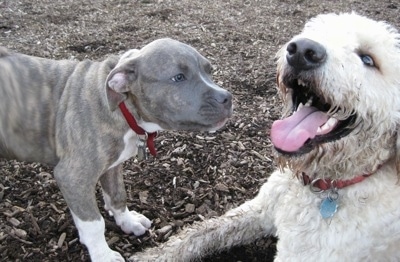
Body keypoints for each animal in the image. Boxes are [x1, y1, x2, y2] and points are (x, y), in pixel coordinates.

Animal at [0, 39, 231, 262]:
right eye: (179, 77)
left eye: (209, 70)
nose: (227, 97)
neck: (123, 107)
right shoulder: (72, 177)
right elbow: (94, 223)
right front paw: (103, 255)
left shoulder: (112, 166)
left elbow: (118, 196)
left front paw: (128, 222)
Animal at [130, 12, 400, 262]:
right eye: (317, 33)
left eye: (368, 59)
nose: (302, 50)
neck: (320, 184)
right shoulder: (261, 209)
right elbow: (199, 233)